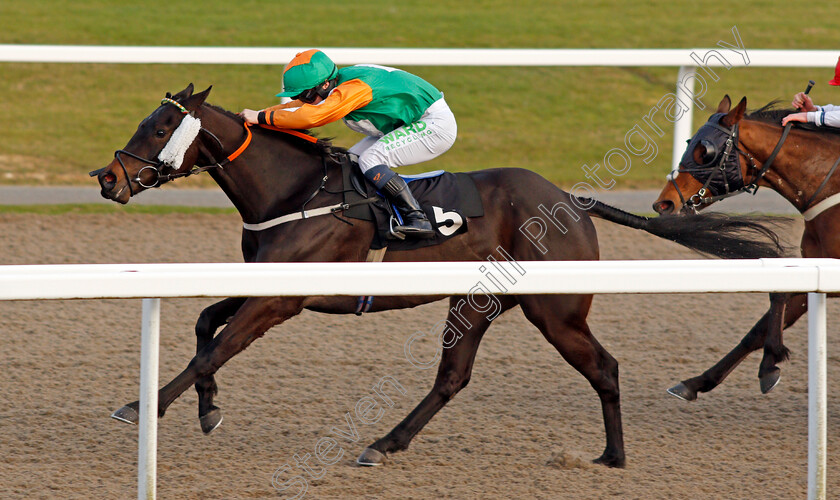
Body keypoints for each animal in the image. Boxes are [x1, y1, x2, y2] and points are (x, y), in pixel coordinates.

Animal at [95, 84, 784, 466]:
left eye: (160, 127)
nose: (107, 178)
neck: (294, 189)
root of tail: (570, 200)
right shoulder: (259, 280)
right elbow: (203, 325)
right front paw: (208, 410)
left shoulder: (282, 300)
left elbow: (213, 350)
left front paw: (143, 406)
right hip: (475, 303)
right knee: (453, 377)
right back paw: (383, 444)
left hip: (555, 309)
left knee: (604, 367)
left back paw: (614, 455)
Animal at [652, 94, 836, 402]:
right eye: (689, 143)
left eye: (705, 152)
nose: (663, 203)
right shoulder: (816, 270)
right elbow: (759, 327)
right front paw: (696, 382)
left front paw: (770, 361)